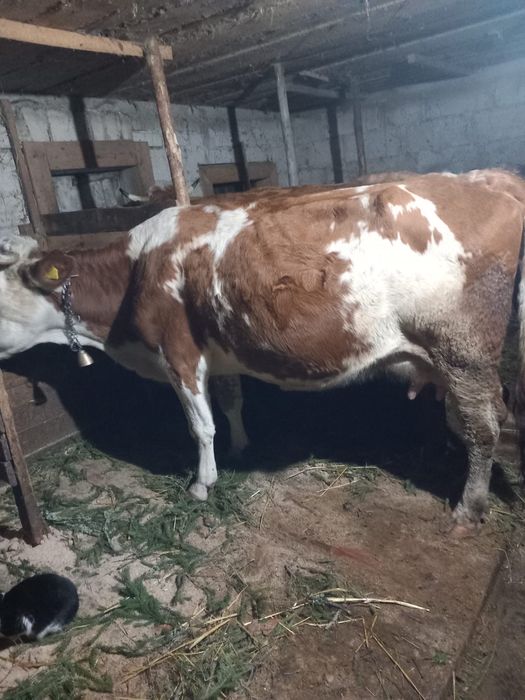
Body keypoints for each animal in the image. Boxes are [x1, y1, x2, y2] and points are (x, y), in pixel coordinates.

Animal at [1, 169, 524, 530]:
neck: (134, 271)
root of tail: (490, 177)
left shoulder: (178, 352)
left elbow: (200, 426)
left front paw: (202, 483)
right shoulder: (217, 349)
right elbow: (230, 402)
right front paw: (240, 445)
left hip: (463, 352)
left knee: (483, 427)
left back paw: (468, 508)